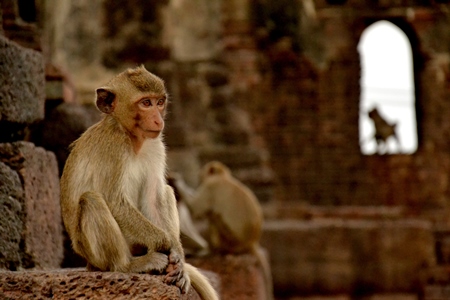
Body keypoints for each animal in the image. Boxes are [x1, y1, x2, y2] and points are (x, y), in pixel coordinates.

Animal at [60, 65, 219, 300]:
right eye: (145, 103)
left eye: (159, 102)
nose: (159, 120)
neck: (133, 138)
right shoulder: (113, 145)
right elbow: (115, 202)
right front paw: (167, 245)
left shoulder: (156, 145)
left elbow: (154, 197)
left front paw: (177, 256)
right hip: (91, 252)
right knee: (91, 200)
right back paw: (127, 265)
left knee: (166, 190)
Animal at [187, 162, 272, 300]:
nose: (199, 176)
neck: (223, 177)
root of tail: (251, 243)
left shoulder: (210, 187)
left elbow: (195, 210)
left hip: (229, 239)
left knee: (214, 217)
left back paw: (213, 252)